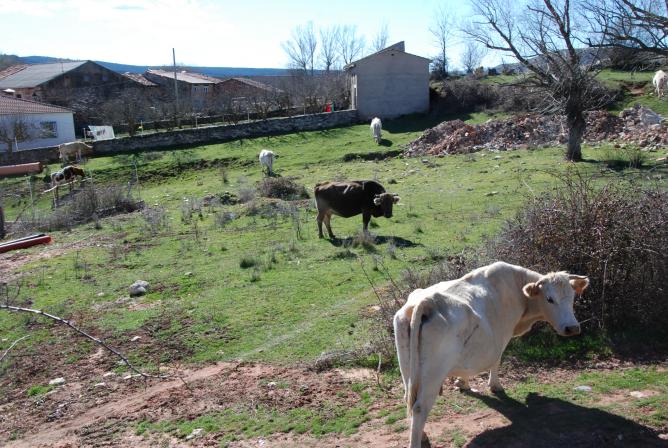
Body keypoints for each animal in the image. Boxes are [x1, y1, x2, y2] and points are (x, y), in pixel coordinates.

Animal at [394, 261, 589, 448]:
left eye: (572, 297)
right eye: (550, 299)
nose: (572, 328)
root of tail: (426, 302)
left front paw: (463, 383)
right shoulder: (501, 338)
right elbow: (496, 361)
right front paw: (495, 385)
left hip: (408, 370)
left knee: (408, 400)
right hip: (433, 374)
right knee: (419, 408)